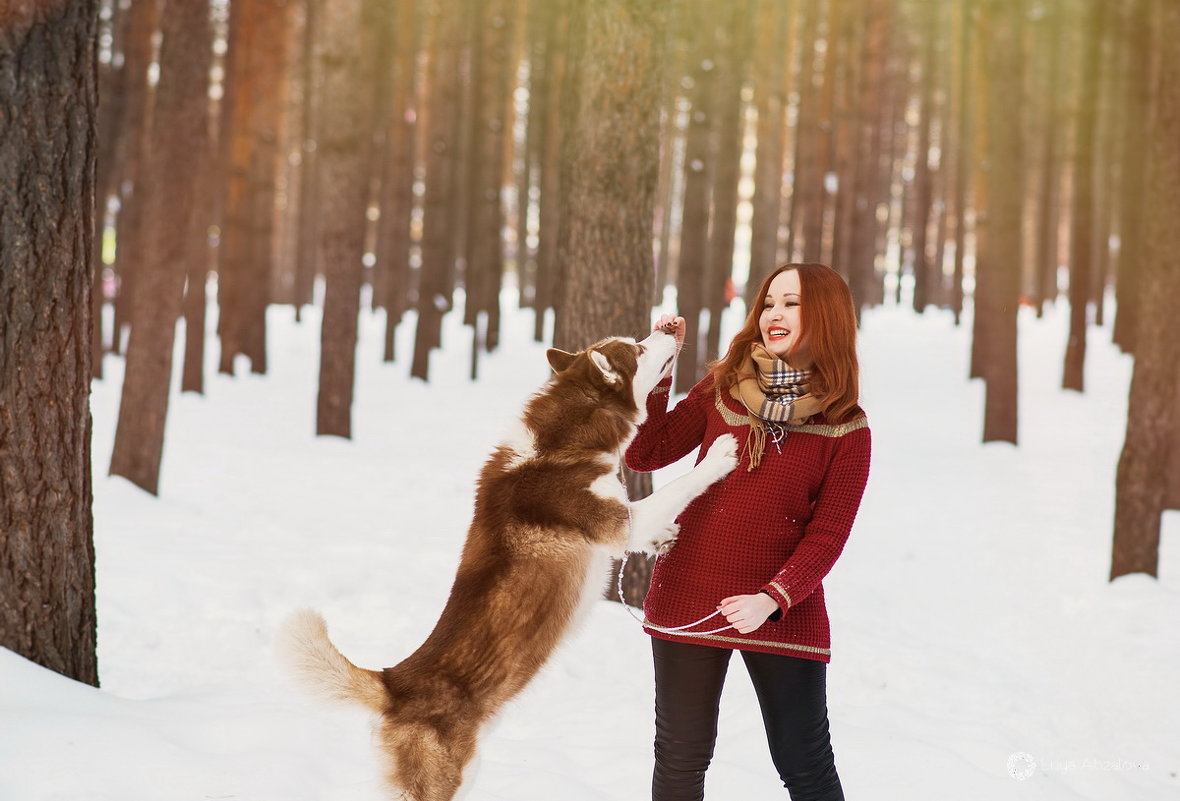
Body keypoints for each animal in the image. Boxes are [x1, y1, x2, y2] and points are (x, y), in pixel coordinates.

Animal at [277, 327, 736, 801]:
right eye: (638, 348)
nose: (670, 327)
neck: (561, 443)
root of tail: (393, 683)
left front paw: (666, 537)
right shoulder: (618, 523)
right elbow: (678, 487)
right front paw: (720, 454)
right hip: (444, 779)